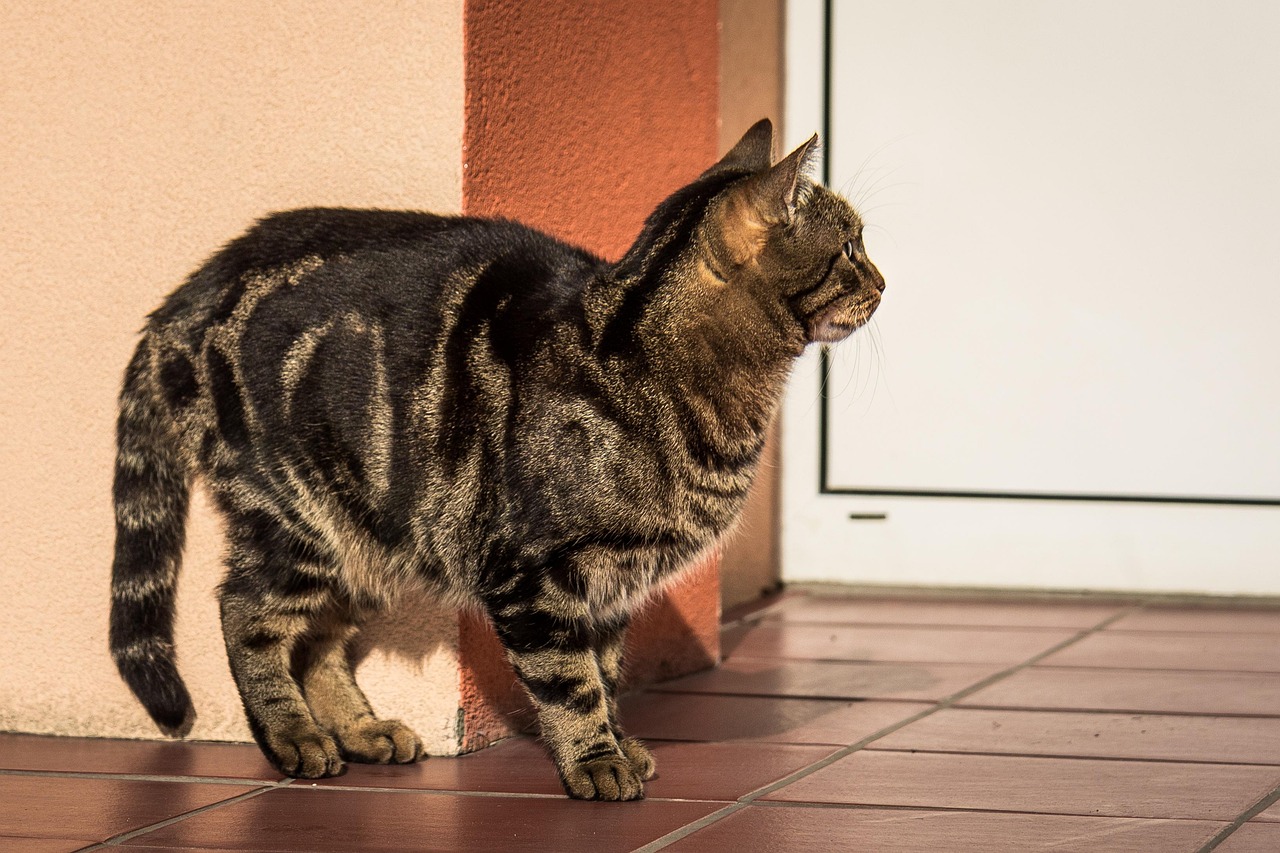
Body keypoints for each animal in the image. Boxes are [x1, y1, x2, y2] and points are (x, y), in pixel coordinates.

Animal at [110, 119, 885, 799]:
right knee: (245, 613)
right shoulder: (533, 574)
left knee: (319, 640)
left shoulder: (610, 587)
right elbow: (570, 683)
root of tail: (199, 282)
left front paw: (619, 742)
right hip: (299, 521)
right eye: (850, 246)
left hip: (369, 532)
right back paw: (293, 737)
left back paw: (361, 731)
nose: (883, 281)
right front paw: (596, 763)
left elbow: (605, 673)